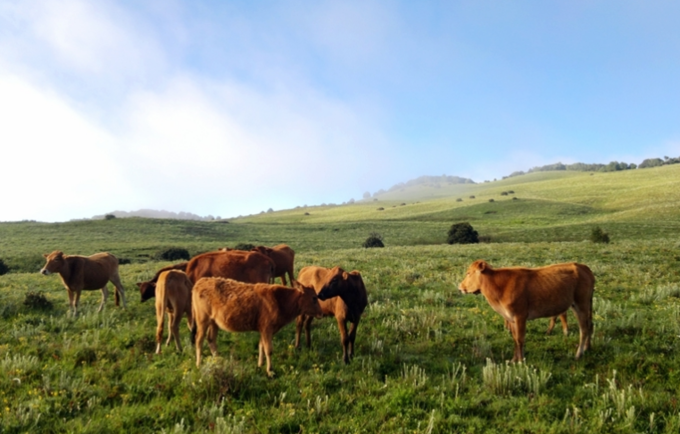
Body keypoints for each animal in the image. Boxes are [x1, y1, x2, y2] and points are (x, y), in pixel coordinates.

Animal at [191, 277, 323, 376]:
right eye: (314, 298)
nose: (321, 313)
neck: (280, 300)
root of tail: (200, 282)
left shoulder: (263, 330)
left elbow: (261, 346)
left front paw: (260, 365)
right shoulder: (267, 328)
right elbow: (268, 349)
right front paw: (270, 371)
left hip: (214, 322)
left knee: (211, 339)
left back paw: (218, 361)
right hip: (203, 320)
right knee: (199, 340)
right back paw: (198, 364)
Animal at [458, 260, 594, 362]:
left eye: (468, 273)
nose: (460, 287)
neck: (500, 286)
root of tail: (582, 266)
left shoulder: (520, 316)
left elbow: (520, 339)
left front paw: (520, 361)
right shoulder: (511, 318)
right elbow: (515, 339)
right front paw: (514, 360)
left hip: (581, 305)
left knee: (584, 329)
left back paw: (578, 354)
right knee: (590, 326)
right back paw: (587, 348)